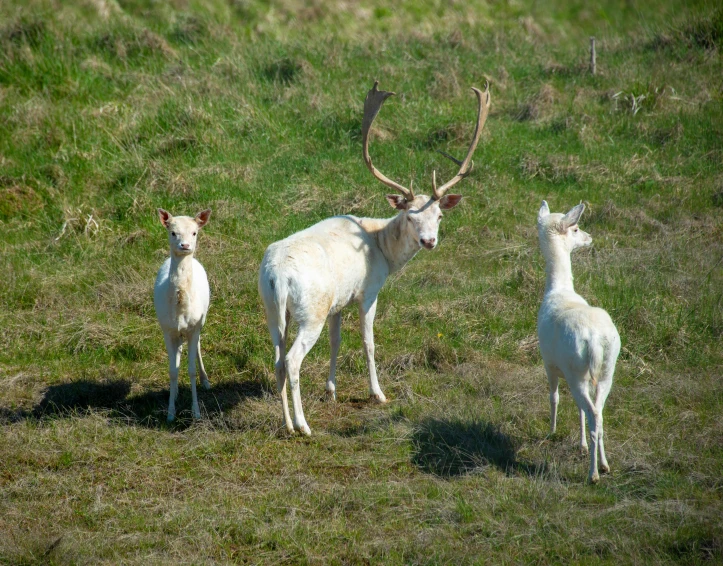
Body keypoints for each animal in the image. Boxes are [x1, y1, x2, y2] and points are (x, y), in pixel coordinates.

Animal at [152, 209, 211, 422]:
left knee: (199, 344)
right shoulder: (167, 330)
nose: (184, 245)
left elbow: (191, 370)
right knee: (178, 351)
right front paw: (170, 413)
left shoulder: (194, 326)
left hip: (202, 318)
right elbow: (172, 371)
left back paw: (206, 381)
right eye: (173, 232)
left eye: (194, 232)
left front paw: (197, 413)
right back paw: (176, 391)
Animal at [258, 80, 490, 438]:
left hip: (273, 309)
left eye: (439, 216)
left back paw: (287, 424)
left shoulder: (337, 303)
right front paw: (378, 393)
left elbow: (336, 341)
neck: (383, 249)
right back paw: (303, 425)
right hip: (310, 311)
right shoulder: (368, 292)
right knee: (293, 360)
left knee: (278, 360)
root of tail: (277, 275)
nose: (429, 241)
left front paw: (331, 390)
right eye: (410, 215)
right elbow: (368, 342)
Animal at [536, 200, 624, 484]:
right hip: (606, 369)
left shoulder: (548, 362)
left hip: (575, 371)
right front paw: (581, 445)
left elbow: (554, 397)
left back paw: (593, 474)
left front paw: (551, 430)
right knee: (598, 413)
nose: (588, 237)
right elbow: (579, 410)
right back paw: (605, 465)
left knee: (593, 413)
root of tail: (594, 339)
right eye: (575, 228)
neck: (559, 290)